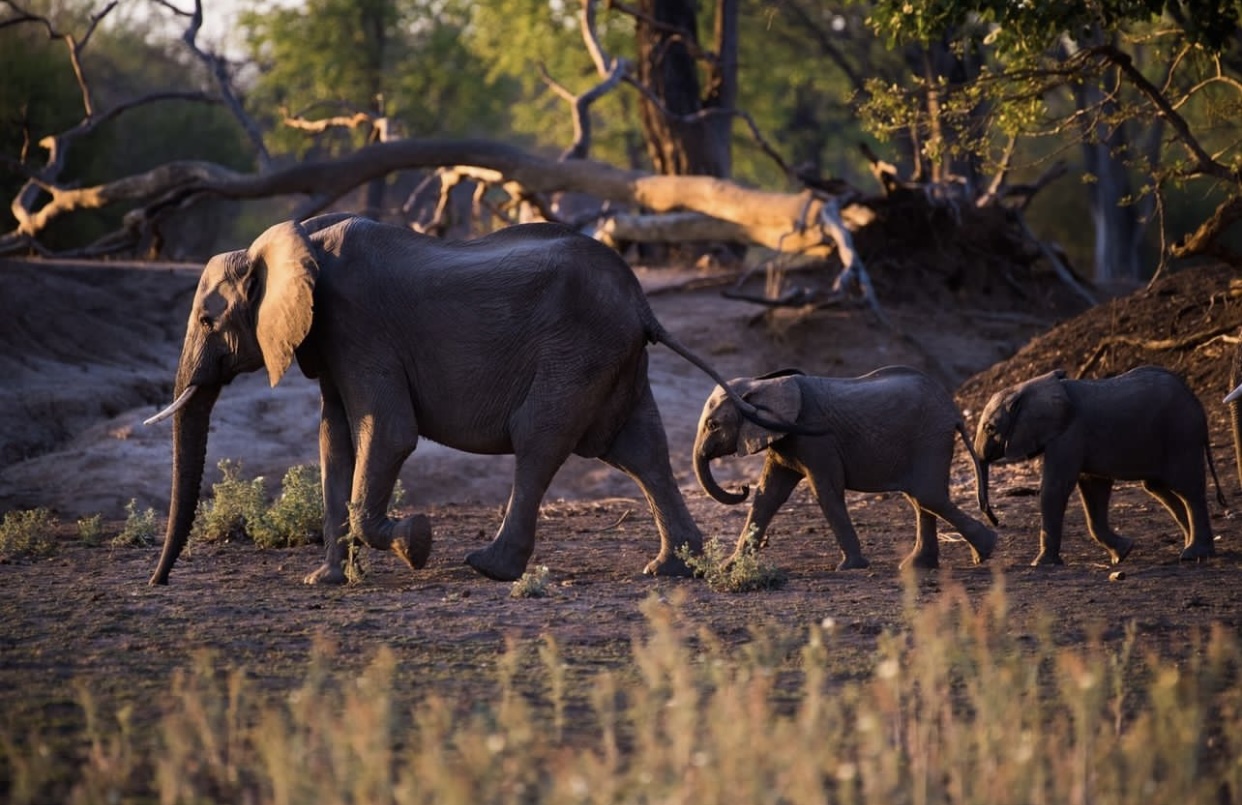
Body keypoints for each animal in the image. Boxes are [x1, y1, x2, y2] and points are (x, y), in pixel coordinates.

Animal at [147, 214, 775, 583]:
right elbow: (334, 440)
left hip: (578, 351)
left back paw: (489, 568)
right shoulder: (329, 340)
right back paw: (672, 568)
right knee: (639, 450)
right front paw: (326, 581)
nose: (159, 581)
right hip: (612, 357)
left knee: (540, 439)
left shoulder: (359, 328)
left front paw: (416, 544)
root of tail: (643, 302)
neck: (297, 240)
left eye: (207, 319)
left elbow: (388, 432)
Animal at [690, 365, 998, 571]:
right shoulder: (784, 439)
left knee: (926, 494)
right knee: (922, 498)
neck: (765, 384)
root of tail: (954, 410)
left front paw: (850, 567)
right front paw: (729, 566)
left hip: (930, 436)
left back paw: (986, 550)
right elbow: (768, 495)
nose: (740, 486)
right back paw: (920, 566)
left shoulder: (814, 437)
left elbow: (825, 490)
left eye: (713, 425)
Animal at [978, 365, 1222, 566]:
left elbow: (1055, 488)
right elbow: (1093, 487)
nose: (994, 519)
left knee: (1188, 489)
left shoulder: (1069, 433)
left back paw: (1194, 554)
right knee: (1158, 487)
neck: (1025, 388)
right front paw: (1122, 554)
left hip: (1182, 435)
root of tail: (1196, 400)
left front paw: (1040, 564)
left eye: (990, 428)